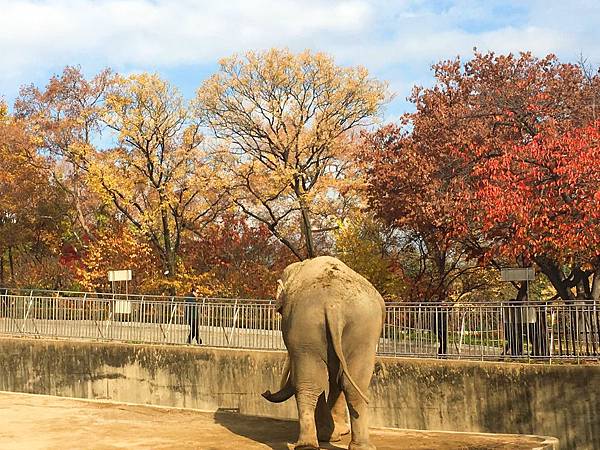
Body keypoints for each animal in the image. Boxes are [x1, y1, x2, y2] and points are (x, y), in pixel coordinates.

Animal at [262, 256, 384, 450]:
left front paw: (334, 433)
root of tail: (333, 304)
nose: (265, 392)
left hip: (317, 326)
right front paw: (336, 433)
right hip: (357, 329)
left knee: (313, 383)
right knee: (351, 383)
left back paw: (311, 444)